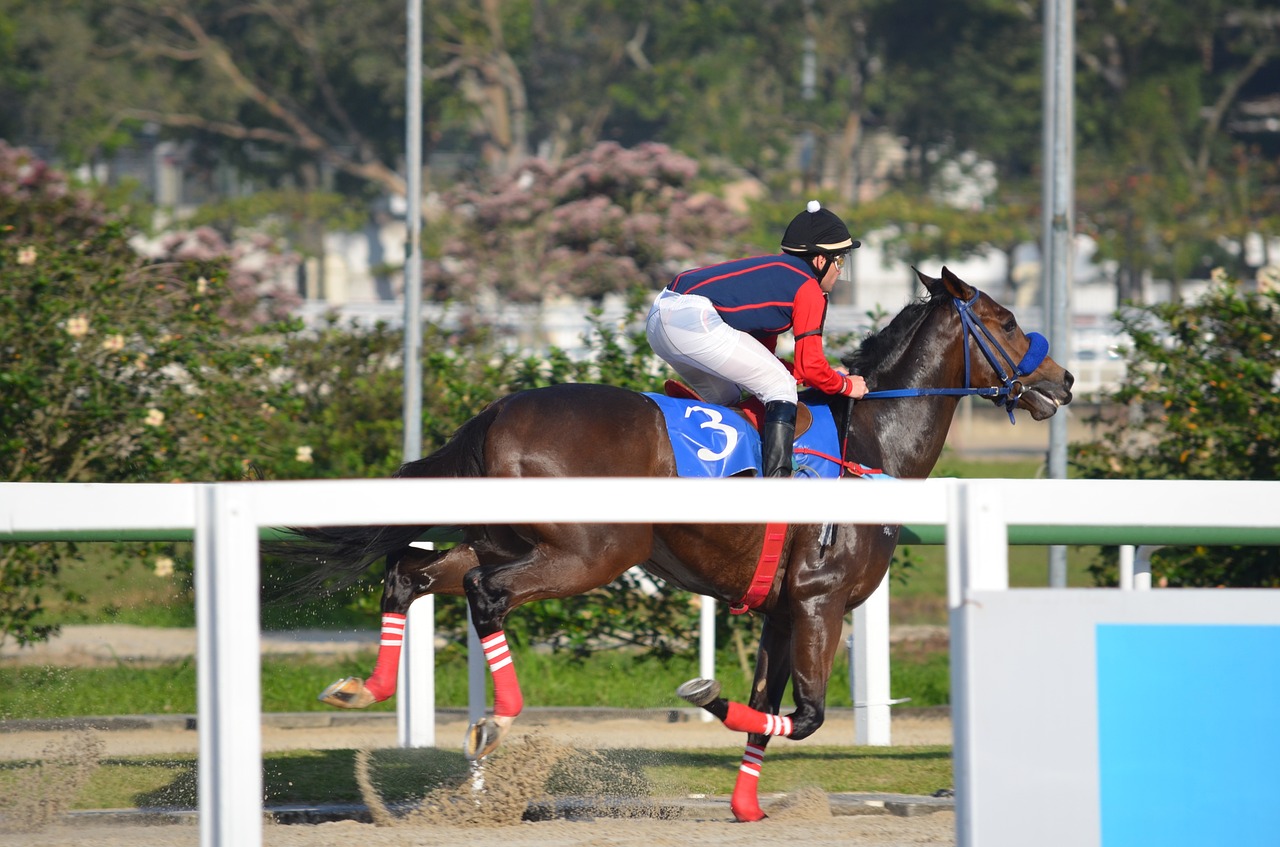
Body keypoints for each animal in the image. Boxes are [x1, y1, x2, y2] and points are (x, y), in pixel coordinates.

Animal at [288, 267, 1070, 823]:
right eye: (1004, 319)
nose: (1061, 379)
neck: (871, 445)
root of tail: (497, 412)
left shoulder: (782, 609)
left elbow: (770, 709)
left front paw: (747, 806)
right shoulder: (821, 601)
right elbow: (807, 715)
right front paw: (707, 693)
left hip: (505, 541)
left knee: (409, 574)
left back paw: (364, 687)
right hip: (593, 551)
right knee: (487, 594)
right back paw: (496, 719)